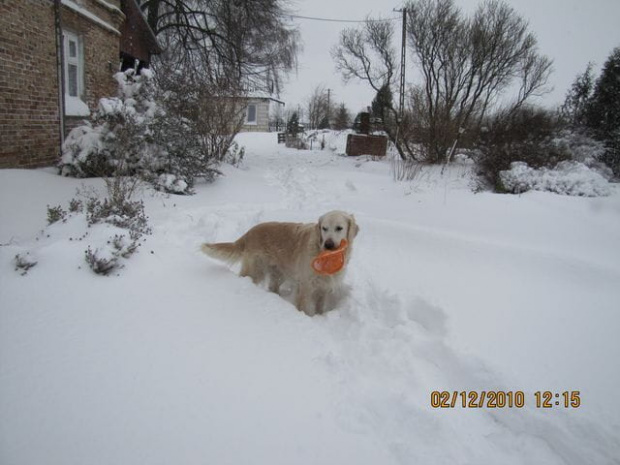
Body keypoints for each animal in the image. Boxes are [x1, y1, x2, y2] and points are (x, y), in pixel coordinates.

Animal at [203, 211, 358, 316]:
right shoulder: (306, 286)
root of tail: (249, 232)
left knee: (273, 287)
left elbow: (320, 306)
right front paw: (310, 318)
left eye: (339, 228)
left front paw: (320, 316)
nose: (328, 245)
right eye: (324, 228)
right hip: (256, 269)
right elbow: (305, 307)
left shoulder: (324, 287)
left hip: (278, 273)